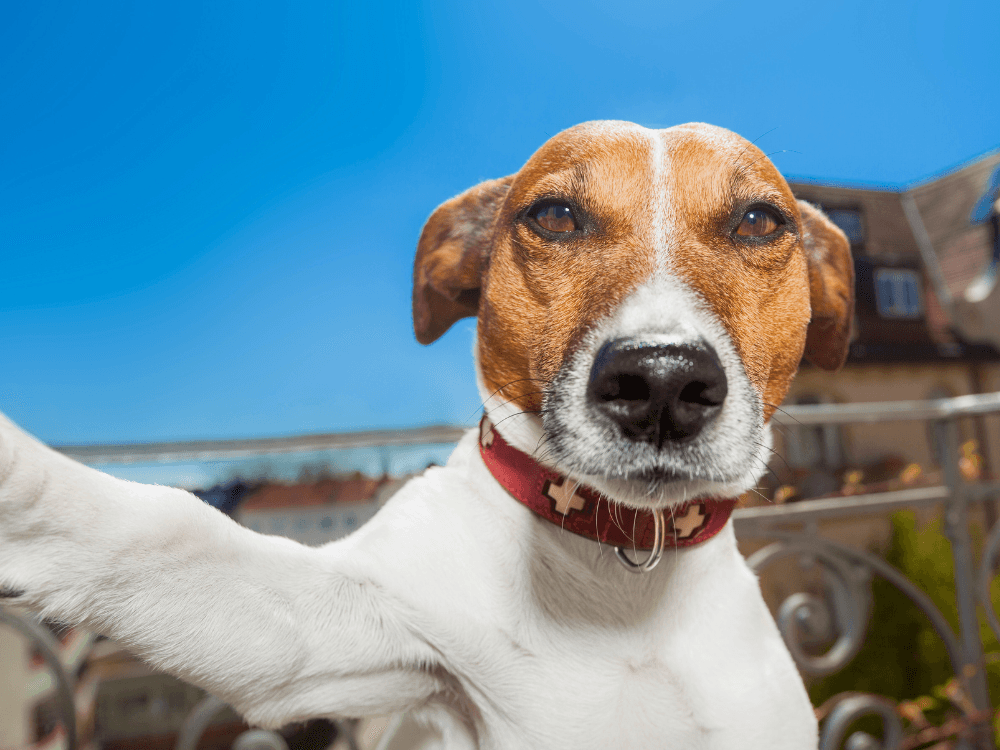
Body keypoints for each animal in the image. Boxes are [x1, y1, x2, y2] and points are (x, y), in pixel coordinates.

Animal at [1, 120, 852, 748]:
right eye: (554, 215)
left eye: (758, 220)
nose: (663, 381)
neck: (618, 577)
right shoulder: (326, 636)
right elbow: (165, 530)